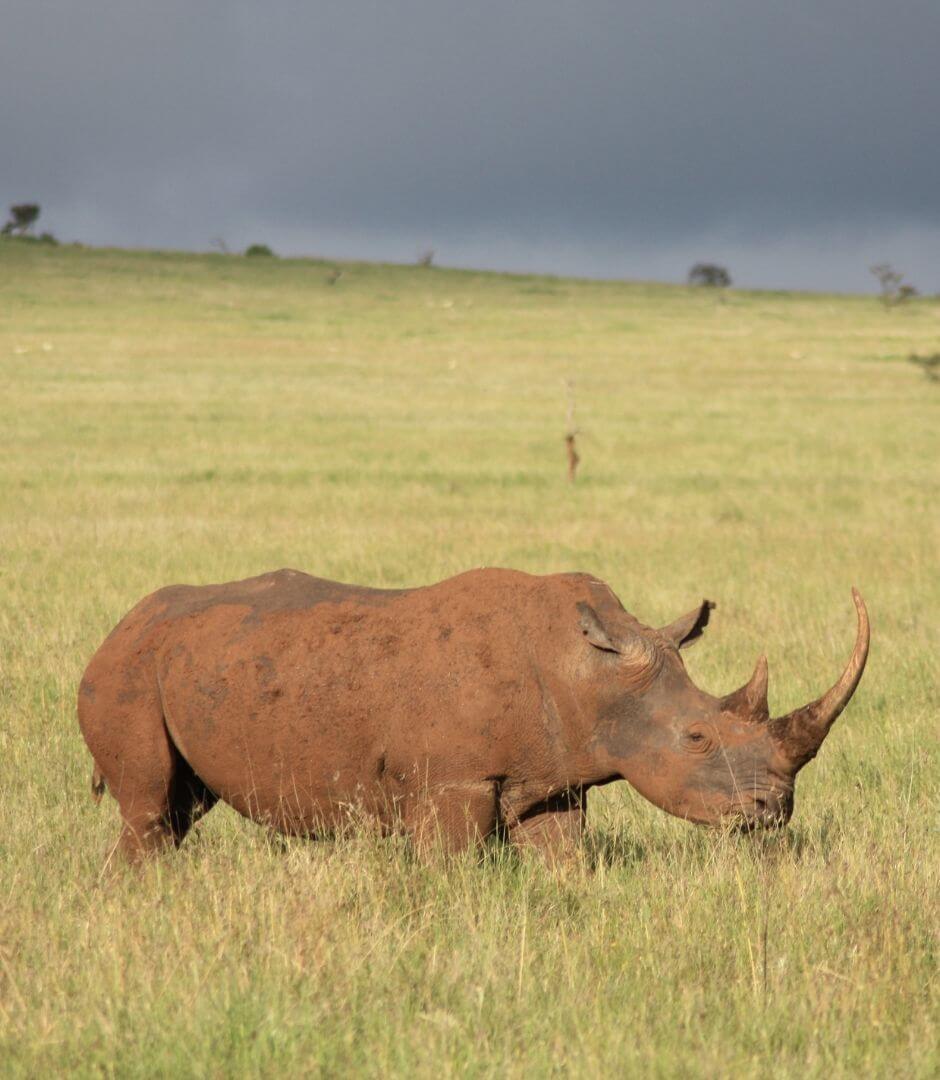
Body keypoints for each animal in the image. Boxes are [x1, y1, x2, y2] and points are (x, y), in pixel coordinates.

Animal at [78, 568, 869, 863]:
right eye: (698, 737)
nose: (773, 812)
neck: (589, 673)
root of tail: (119, 625)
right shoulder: (452, 779)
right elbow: (452, 866)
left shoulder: (554, 776)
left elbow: (562, 859)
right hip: (126, 671)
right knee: (149, 808)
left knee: (181, 807)